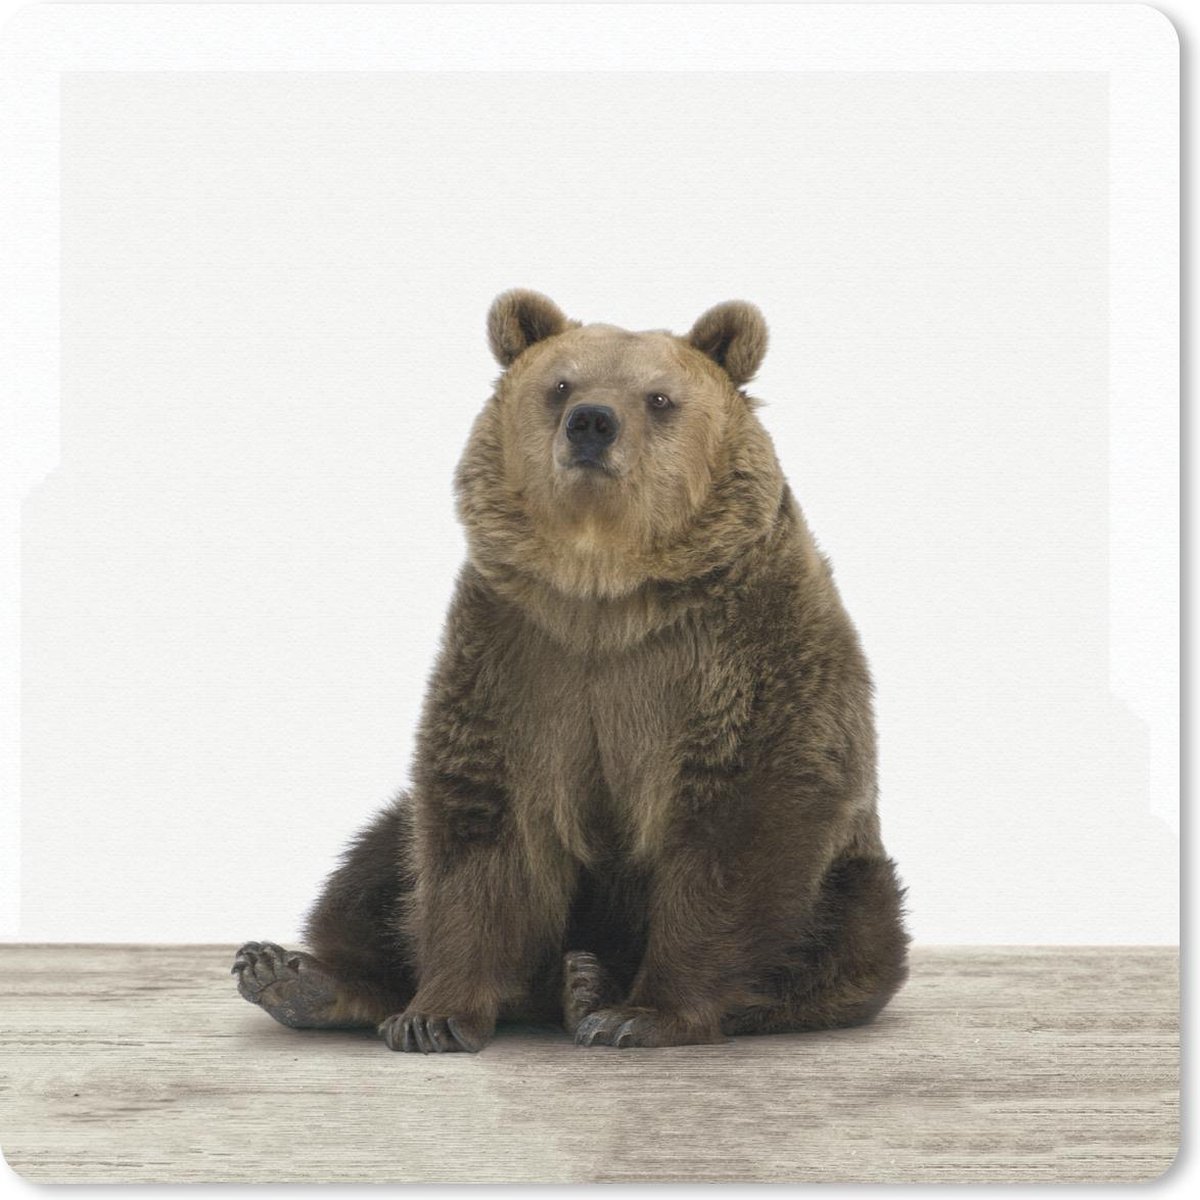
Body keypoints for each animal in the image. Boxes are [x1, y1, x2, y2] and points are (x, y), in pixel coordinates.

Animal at [232, 290, 909, 1052]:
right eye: (560, 385)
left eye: (659, 397)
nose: (592, 421)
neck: (603, 589)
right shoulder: (518, 655)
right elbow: (478, 827)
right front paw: (433, 1015)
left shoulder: (742, 651)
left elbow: (739, 825)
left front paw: (642, 1014)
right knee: (376, 862)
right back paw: (296, 977)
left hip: (852, 880)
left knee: (847, 933)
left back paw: (591, 985)